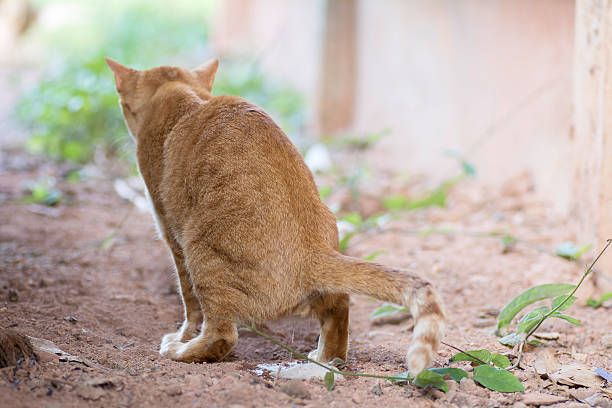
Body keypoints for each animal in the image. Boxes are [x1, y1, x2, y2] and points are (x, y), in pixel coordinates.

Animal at [103, 57, 442, 372]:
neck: (179, 93)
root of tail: (312, 250)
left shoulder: (172, 237)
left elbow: (189, 305)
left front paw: (182, 337)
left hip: (200, 251)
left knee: (221, 335)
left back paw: (182, 351)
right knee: (339, 307)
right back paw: (325, 358)